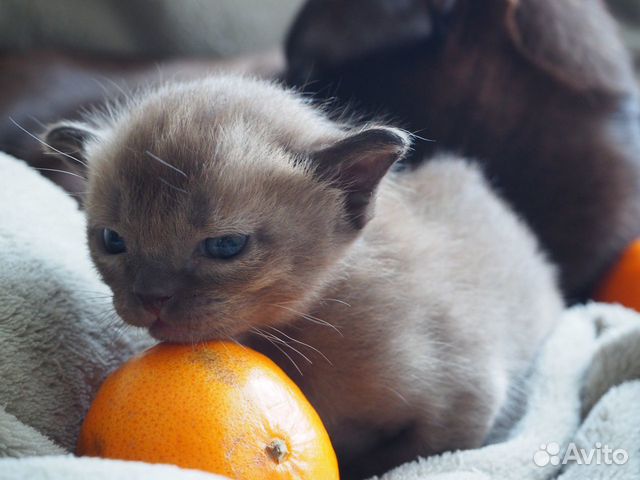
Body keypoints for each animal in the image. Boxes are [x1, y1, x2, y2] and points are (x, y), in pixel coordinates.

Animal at [42, 76, 564, 480]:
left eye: (226, 246)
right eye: (112, 240)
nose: (151, 297)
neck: (300, 334)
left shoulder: (467, 402)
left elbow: (396, 459)